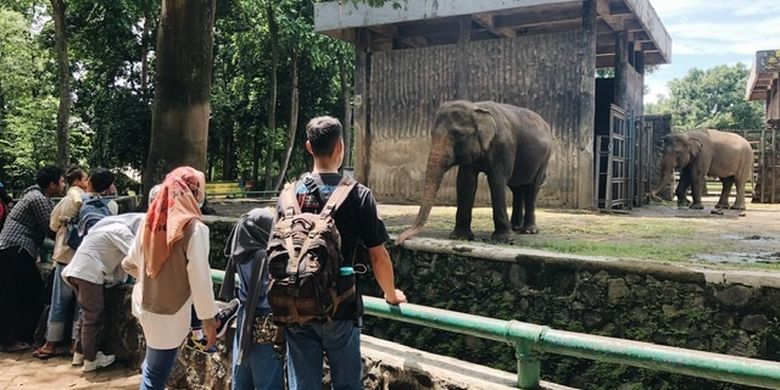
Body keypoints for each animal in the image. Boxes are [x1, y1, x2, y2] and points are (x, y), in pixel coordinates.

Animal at [396, 100, 556, 244]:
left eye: (456, 134)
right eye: (432, 133)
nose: (398, 241)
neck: (476, 108)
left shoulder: (503, 147)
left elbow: (497, 181)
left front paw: (503, 239)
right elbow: (466, 181)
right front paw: (460, 237)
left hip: (545, 157)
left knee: (532, 188)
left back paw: (528, 231)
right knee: (517, 188)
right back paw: (515, 227)